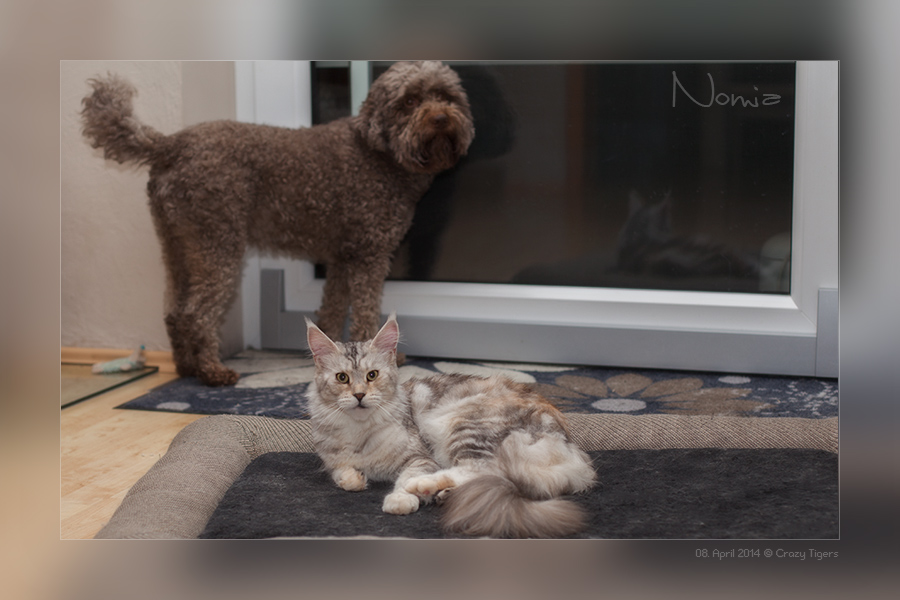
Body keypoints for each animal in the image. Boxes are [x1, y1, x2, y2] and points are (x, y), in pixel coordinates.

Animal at [81, 61, 474, 386]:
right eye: (409, 101)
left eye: (445, 96)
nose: (441, 118)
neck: (379, 154)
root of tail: (170, 143)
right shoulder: (368, 255)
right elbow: (364, 312)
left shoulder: (341, 257)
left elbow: (332, 309)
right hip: (218, 243)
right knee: (197, 313)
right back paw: (213, 372)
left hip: (177, 245)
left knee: (174, 311)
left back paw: (186, 368)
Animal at [305, 314, 597, 538]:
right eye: (342, 378)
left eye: (372, 376)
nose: (359, 395)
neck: (359, 433)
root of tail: (570, 451)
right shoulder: (332, 459)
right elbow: (341, 473)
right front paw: (355, 479)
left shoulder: (420, 456)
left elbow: (404, 477)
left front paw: (401, 499)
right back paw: (444, 494)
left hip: (464, 424)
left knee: (478, 469)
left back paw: (424, 487)